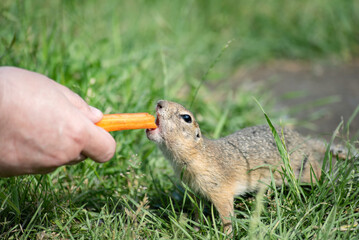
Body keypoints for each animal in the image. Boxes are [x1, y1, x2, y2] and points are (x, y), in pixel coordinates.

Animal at [147, 100, 346, 232]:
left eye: (186, 118)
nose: (159, 103)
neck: (198, 155)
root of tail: (305, 142)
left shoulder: (220, 191)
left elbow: (226, 214)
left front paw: (226, 234)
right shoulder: (194, 190)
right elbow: (196, 210)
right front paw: (194, 229)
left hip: (302, 171)